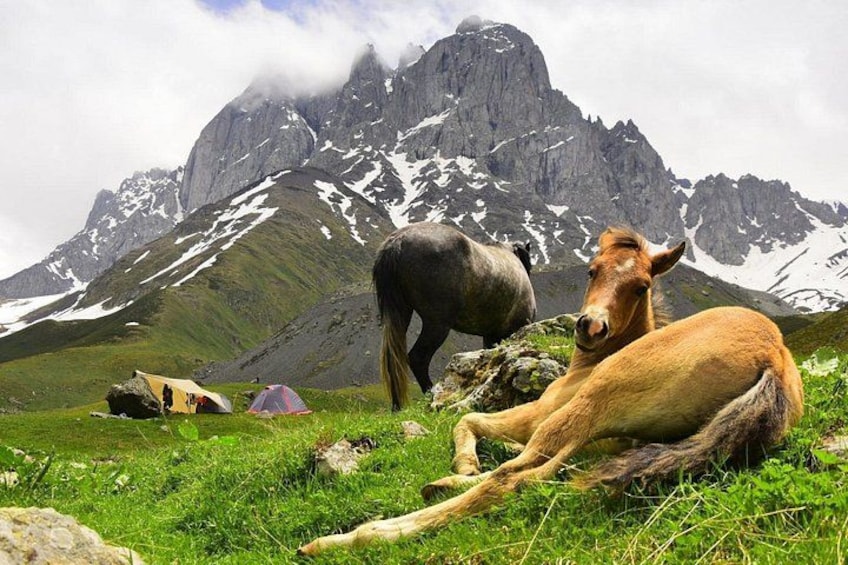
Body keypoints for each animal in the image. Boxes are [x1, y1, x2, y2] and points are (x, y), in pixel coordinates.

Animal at [372, 222, 536, 410]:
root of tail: (398, 241)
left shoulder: (490, 336)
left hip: (401, 314)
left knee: (393, 359)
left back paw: (397, 407)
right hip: (437, 324)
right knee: (418, 358)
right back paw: (431, 394)